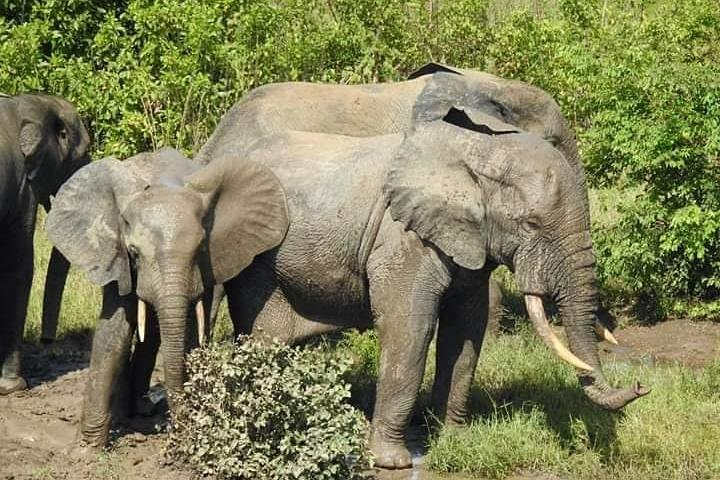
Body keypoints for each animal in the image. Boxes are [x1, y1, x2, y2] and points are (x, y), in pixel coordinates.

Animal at [44, 147, 288, 447]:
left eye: (201, 248)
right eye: (134, 252)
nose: (179, 431)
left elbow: (190, 332)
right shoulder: (118, 258)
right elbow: (115, 331)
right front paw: (88, 448)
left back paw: (140, 409)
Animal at [202, 108, 648, 469]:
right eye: (531, 224)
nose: (640, 386)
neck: (479, 153)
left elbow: (465, 334)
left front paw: (455, 441)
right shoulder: (402, 237)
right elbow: (410, 330)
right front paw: (392, 462)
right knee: (266, 335)